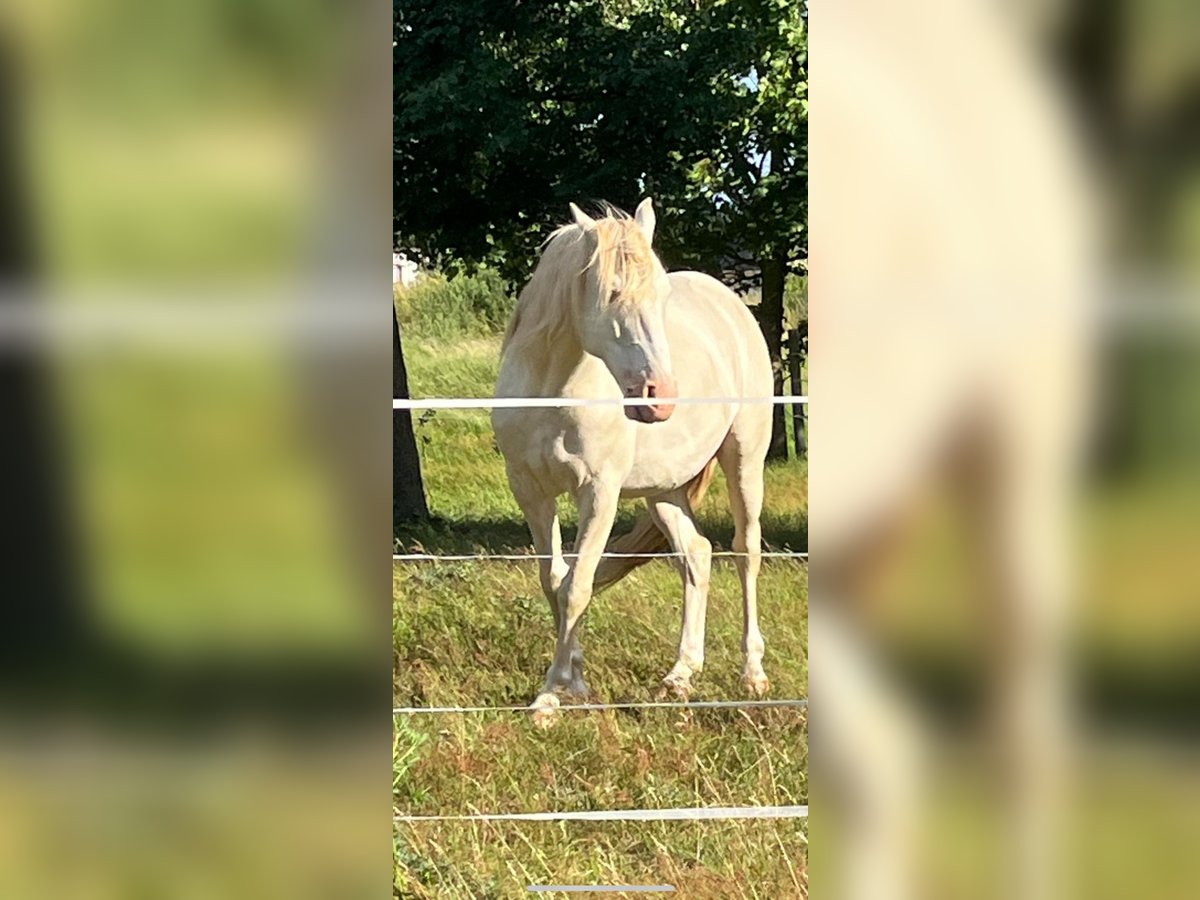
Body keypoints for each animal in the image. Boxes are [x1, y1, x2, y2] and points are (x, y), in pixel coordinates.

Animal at [492, 200, 772, 724]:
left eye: (661, 294)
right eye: (612, 291)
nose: (659, 397)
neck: (552, 391)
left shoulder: (598, 493)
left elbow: (577, 587)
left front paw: (552, 695)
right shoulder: (531, 492)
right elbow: (553, 582)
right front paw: (574, 682)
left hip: (745, 457)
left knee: (745, 552)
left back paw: (753, 675)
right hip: (664, 490)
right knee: (696, 555)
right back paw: (680, 676)